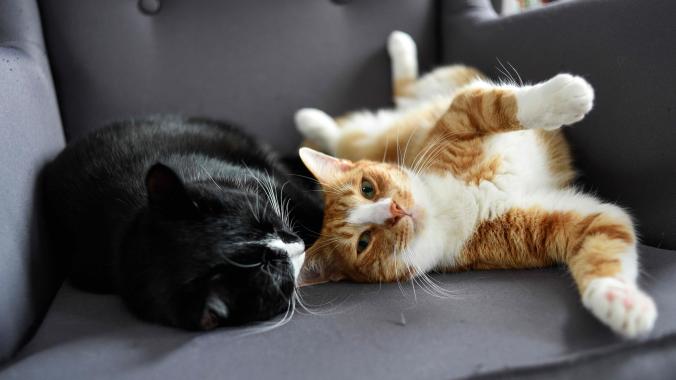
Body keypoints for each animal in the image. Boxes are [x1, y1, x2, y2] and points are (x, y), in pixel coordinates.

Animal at [294, 30, 656, 338]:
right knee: (350, 131)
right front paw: (621, 304)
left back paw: (394, 50)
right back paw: (313, 120)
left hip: (436, 88)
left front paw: (563, 96)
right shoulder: (565, 222)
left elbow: (493, 105)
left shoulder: (458, 118)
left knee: (400, 97)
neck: (449, 206)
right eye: (364, 242)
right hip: (372, 136)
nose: (394, 210)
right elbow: (605, 234)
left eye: (367, 189)